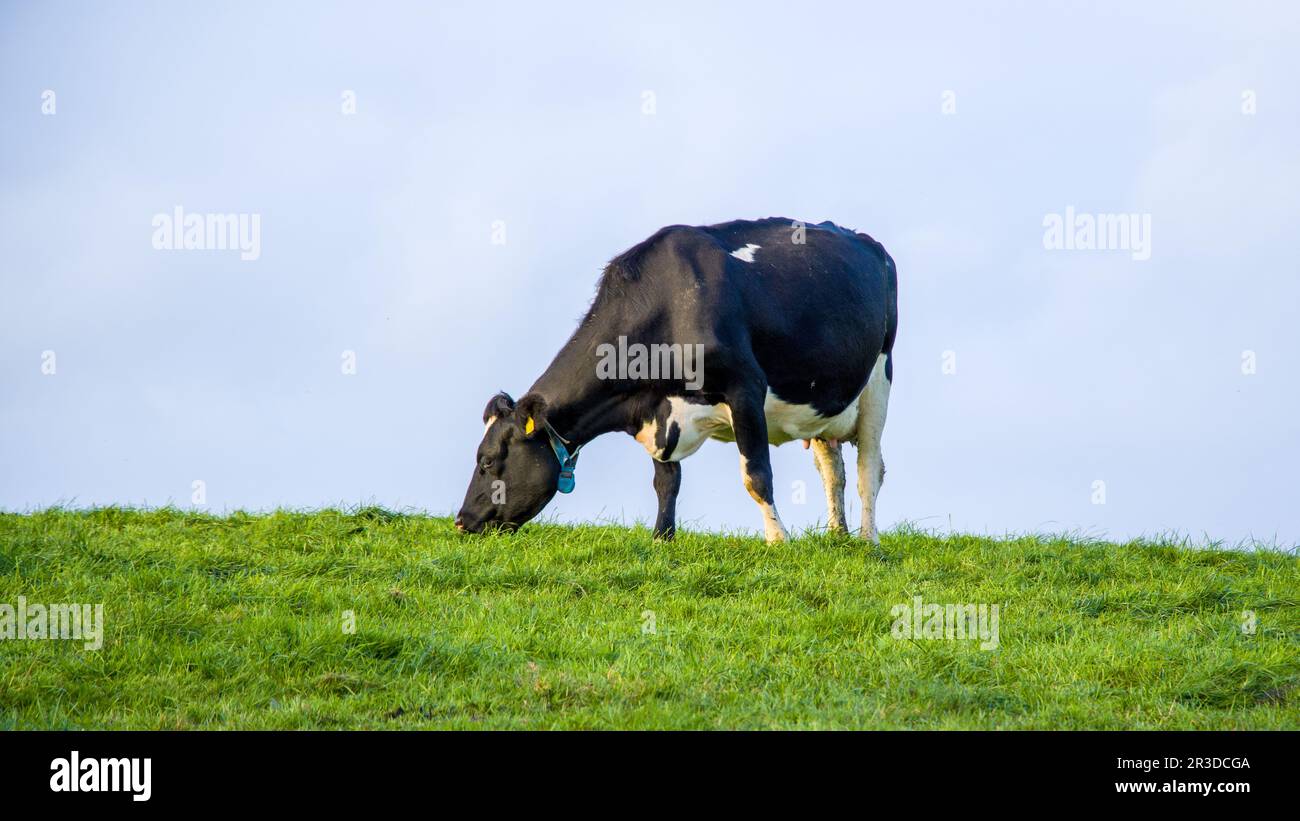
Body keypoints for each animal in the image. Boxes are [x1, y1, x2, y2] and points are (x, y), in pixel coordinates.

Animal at [455, 217, 897, 544]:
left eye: (487, 460)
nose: (461, 520)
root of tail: (863, 239)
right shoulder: (656, 410)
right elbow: (666, 481)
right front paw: (662, 539)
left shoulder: (745, 387)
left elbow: (757, 475)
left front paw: (778, 539)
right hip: (823, 400)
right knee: (832, 468)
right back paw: (837, 535)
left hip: (879, 377)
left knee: (869, 468)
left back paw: (867, 539)